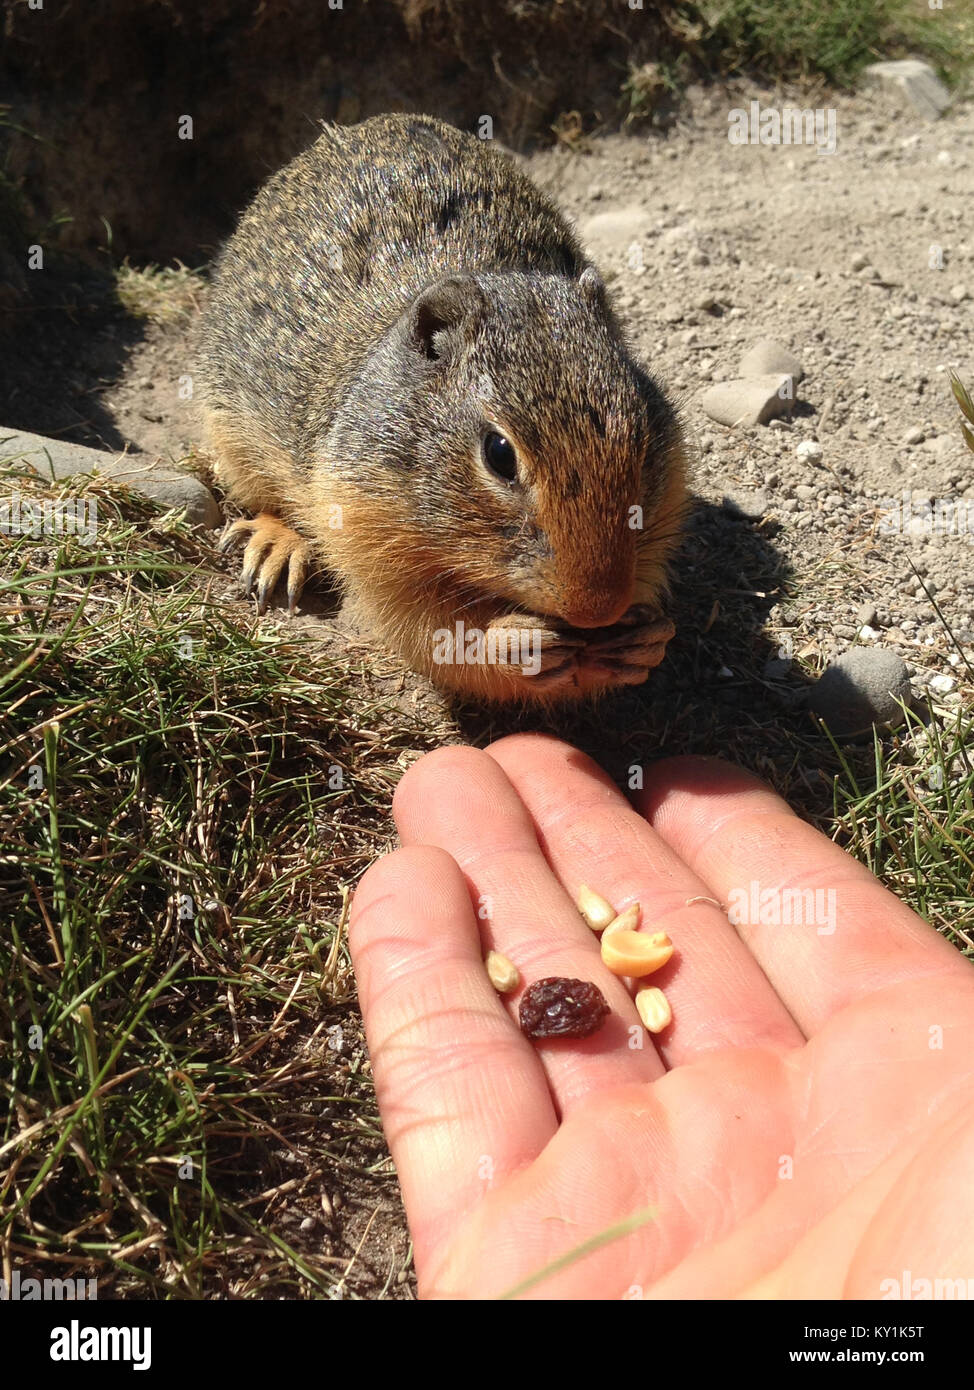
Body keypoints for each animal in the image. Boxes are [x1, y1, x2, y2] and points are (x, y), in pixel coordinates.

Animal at [197, 113, 688, 703]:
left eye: (641, 438)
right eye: (499, 453)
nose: (597, 610)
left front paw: (643, 642)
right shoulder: (367, 534)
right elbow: (434, 634)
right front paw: (515, 642)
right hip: (229, 429)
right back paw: (276, 544)